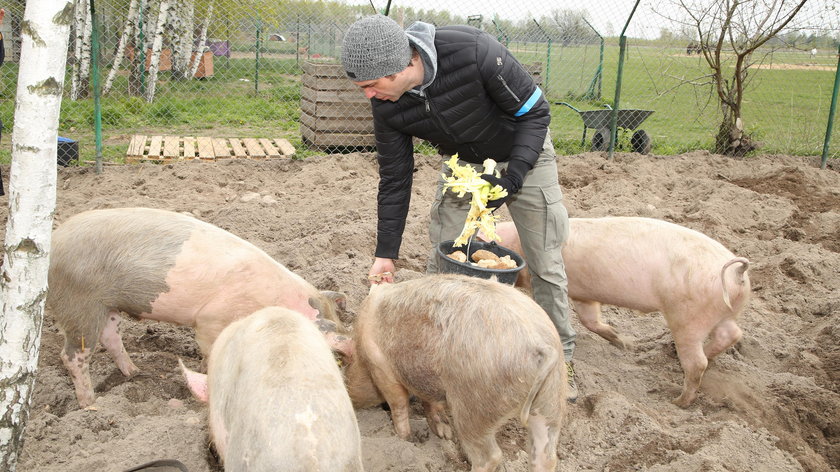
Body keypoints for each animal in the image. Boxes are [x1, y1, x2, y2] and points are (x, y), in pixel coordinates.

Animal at [49, 208, 352, 408]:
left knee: (111, 337)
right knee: (72, 356)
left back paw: (136, 373)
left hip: (107, 307)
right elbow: (209, 351)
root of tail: (54, 242)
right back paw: (90, 404)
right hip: (79, 304)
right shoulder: (210, 320)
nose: (348, 346)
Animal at [344, 272, 568, 472]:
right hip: (551, 400)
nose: (351, 399)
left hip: (475, 406)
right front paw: (444, 434)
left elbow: (398, 404)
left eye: (348, 366)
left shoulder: (381, 367)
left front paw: (405, 439)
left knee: (490, 457)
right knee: (546, 455)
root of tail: (541, 344)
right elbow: (430, 402)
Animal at [482, 218, 752, 406]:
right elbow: (590, 320)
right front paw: (623, 342)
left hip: (688, 316)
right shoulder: (584, 294)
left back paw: (677, 400)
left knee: (698, 362)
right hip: (722, 314)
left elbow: (584, 319)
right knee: (731, 334)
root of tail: (736, 272)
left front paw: (623, 343)